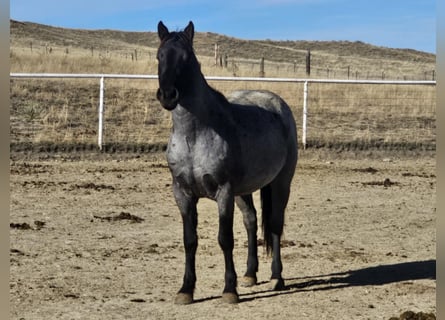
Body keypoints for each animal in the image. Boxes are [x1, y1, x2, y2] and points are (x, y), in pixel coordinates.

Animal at [156, 20, 298, 304]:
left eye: (186, 58)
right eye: (160, 56)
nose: (168, 95)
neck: (195, 134)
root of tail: (279, 106)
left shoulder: (224, 192)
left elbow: (225, 239)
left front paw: (229, 290)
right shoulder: (182, 193)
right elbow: (190, 239)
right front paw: (186, 290)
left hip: (281, 183)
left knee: (275, 225)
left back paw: (277, 277)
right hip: (244, 191)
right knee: (251, 221)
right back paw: (250, 274)